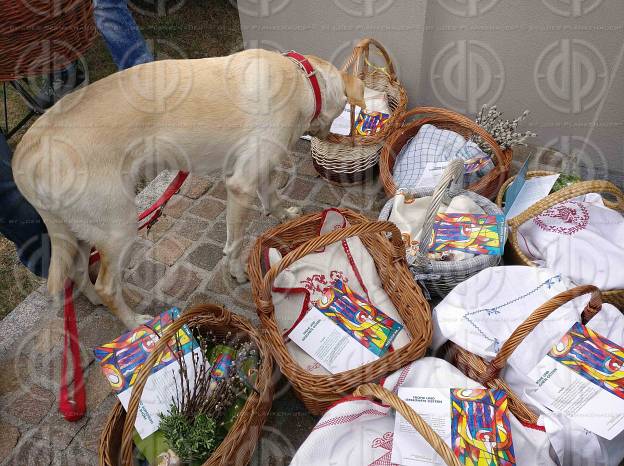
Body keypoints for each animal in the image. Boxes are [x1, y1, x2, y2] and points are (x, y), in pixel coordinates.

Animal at [12, 48, 366, 328]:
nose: (334, 139)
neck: (303, 79)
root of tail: (26, 151)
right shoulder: (240, 186)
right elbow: (236, 242)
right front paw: (237, 273)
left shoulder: (260, 170)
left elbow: (272, 198)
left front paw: (284, 214)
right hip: (119, 227)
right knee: (106, 286)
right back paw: (134, 323)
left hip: (81, 231)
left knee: (75, 271)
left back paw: (97, 303)